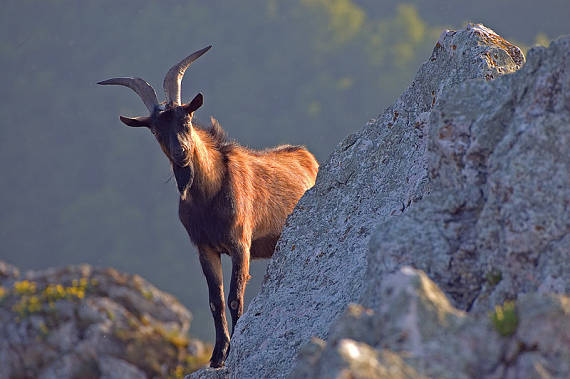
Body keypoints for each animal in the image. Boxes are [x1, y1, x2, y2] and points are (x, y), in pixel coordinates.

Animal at [99, 45, 318, 368]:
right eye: (155, 131)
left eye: (186, 120)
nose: (181, 153)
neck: (208, 195)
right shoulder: (205, 248)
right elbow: (215, 301)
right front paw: (217, 356)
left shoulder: (241, 244)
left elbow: (235, 298)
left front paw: (234, 349)